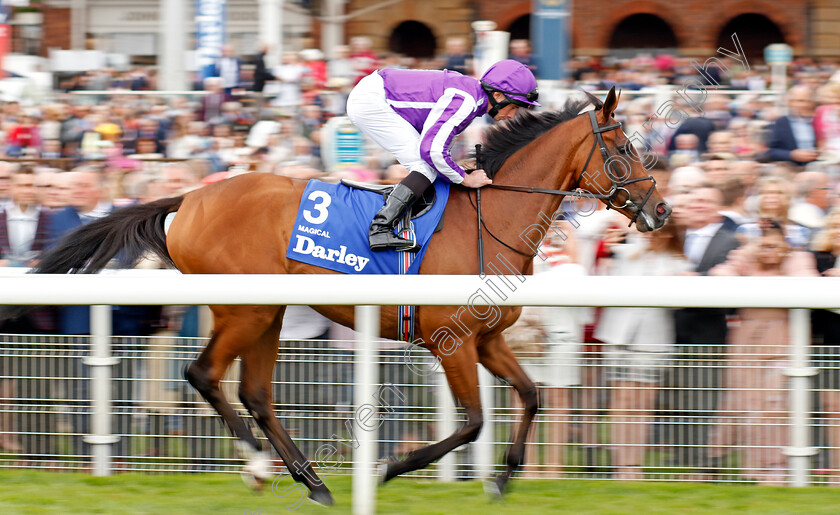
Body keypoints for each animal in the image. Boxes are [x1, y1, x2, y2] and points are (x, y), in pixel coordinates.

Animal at [13, 87, 668, 504]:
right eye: (625, 149)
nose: (661, 212)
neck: (493, 218)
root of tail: (190, 198)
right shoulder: (450, 341)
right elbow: (474, 421)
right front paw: (388, 466)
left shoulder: (486, 339)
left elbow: (532, 395)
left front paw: (504, 478)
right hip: (244, 308)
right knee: (204, 375)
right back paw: (261, 468)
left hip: (268, 313)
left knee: (256, 393)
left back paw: (314, 483)